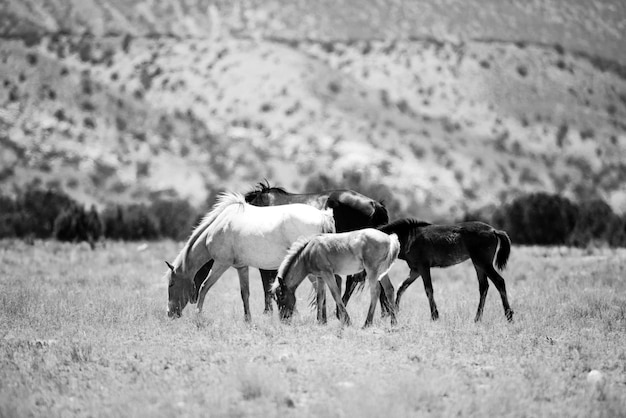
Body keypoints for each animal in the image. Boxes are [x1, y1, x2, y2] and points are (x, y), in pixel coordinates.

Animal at [163, 193, 334, 320]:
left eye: (171, 284)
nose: (169, 313)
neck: (218, 226)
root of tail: (322, 216)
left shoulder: (221, 264)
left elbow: (205, 287)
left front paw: (198, 315)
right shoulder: (241, 267)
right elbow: (245, 293)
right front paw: (248, 320)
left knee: (320, 289)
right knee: (321, 289)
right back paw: (322, 320)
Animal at [243, 180, 390, 320]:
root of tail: (374, 204)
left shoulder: (266, 263)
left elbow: (268, 286)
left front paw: (269, 313)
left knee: (353, 281)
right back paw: (385, 312)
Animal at [270, 227, 398, 328]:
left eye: (281, 297)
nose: (283, 319)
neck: (309, 252)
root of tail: (389, 238)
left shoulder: (328, 274)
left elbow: (335, 294)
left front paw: (347, 321)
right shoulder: (320, 277)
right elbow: (320, 297)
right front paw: (320, 322)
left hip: (372, 270)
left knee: (375, 291)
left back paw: (367, 323)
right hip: (382, 272)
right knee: (389, 289)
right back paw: (393, 322)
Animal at [376, 219, 512, 324]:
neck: (409, 237)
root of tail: (493, 230)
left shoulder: (423, 267)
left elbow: (428, 289)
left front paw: (434, 316)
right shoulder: (415, 270)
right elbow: (402, 287)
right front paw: (395, 311)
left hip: (484, 263)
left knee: (499, 282)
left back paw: (509, 316)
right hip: (478, 264)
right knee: (484, 287)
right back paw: (477, 319)